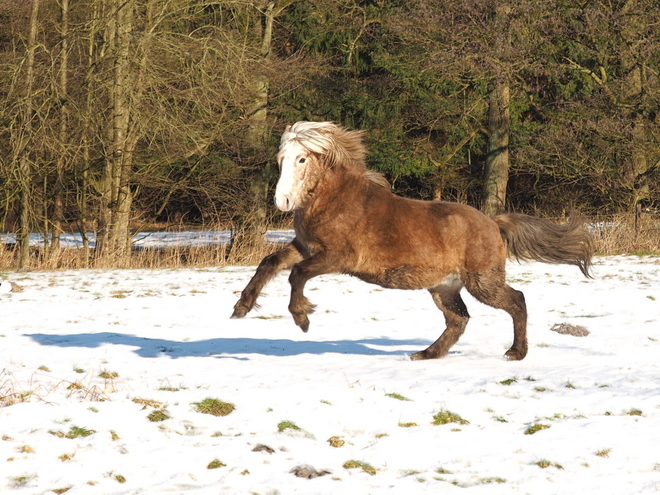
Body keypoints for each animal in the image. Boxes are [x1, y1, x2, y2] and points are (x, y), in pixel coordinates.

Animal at [232, 122, 592, 362]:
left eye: (302, 160)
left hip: (481, 281)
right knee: (459, 319)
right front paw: (242, 308)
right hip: (444, 287)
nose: (283, 202)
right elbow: (270, 263)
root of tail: (493, 222)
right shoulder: (305, 248)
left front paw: (302, 319)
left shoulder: (336, 258)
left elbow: (297, 275)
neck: (335, 201)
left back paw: (515, 353)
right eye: (280, 158)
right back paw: (426, 354)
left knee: (516, 301)